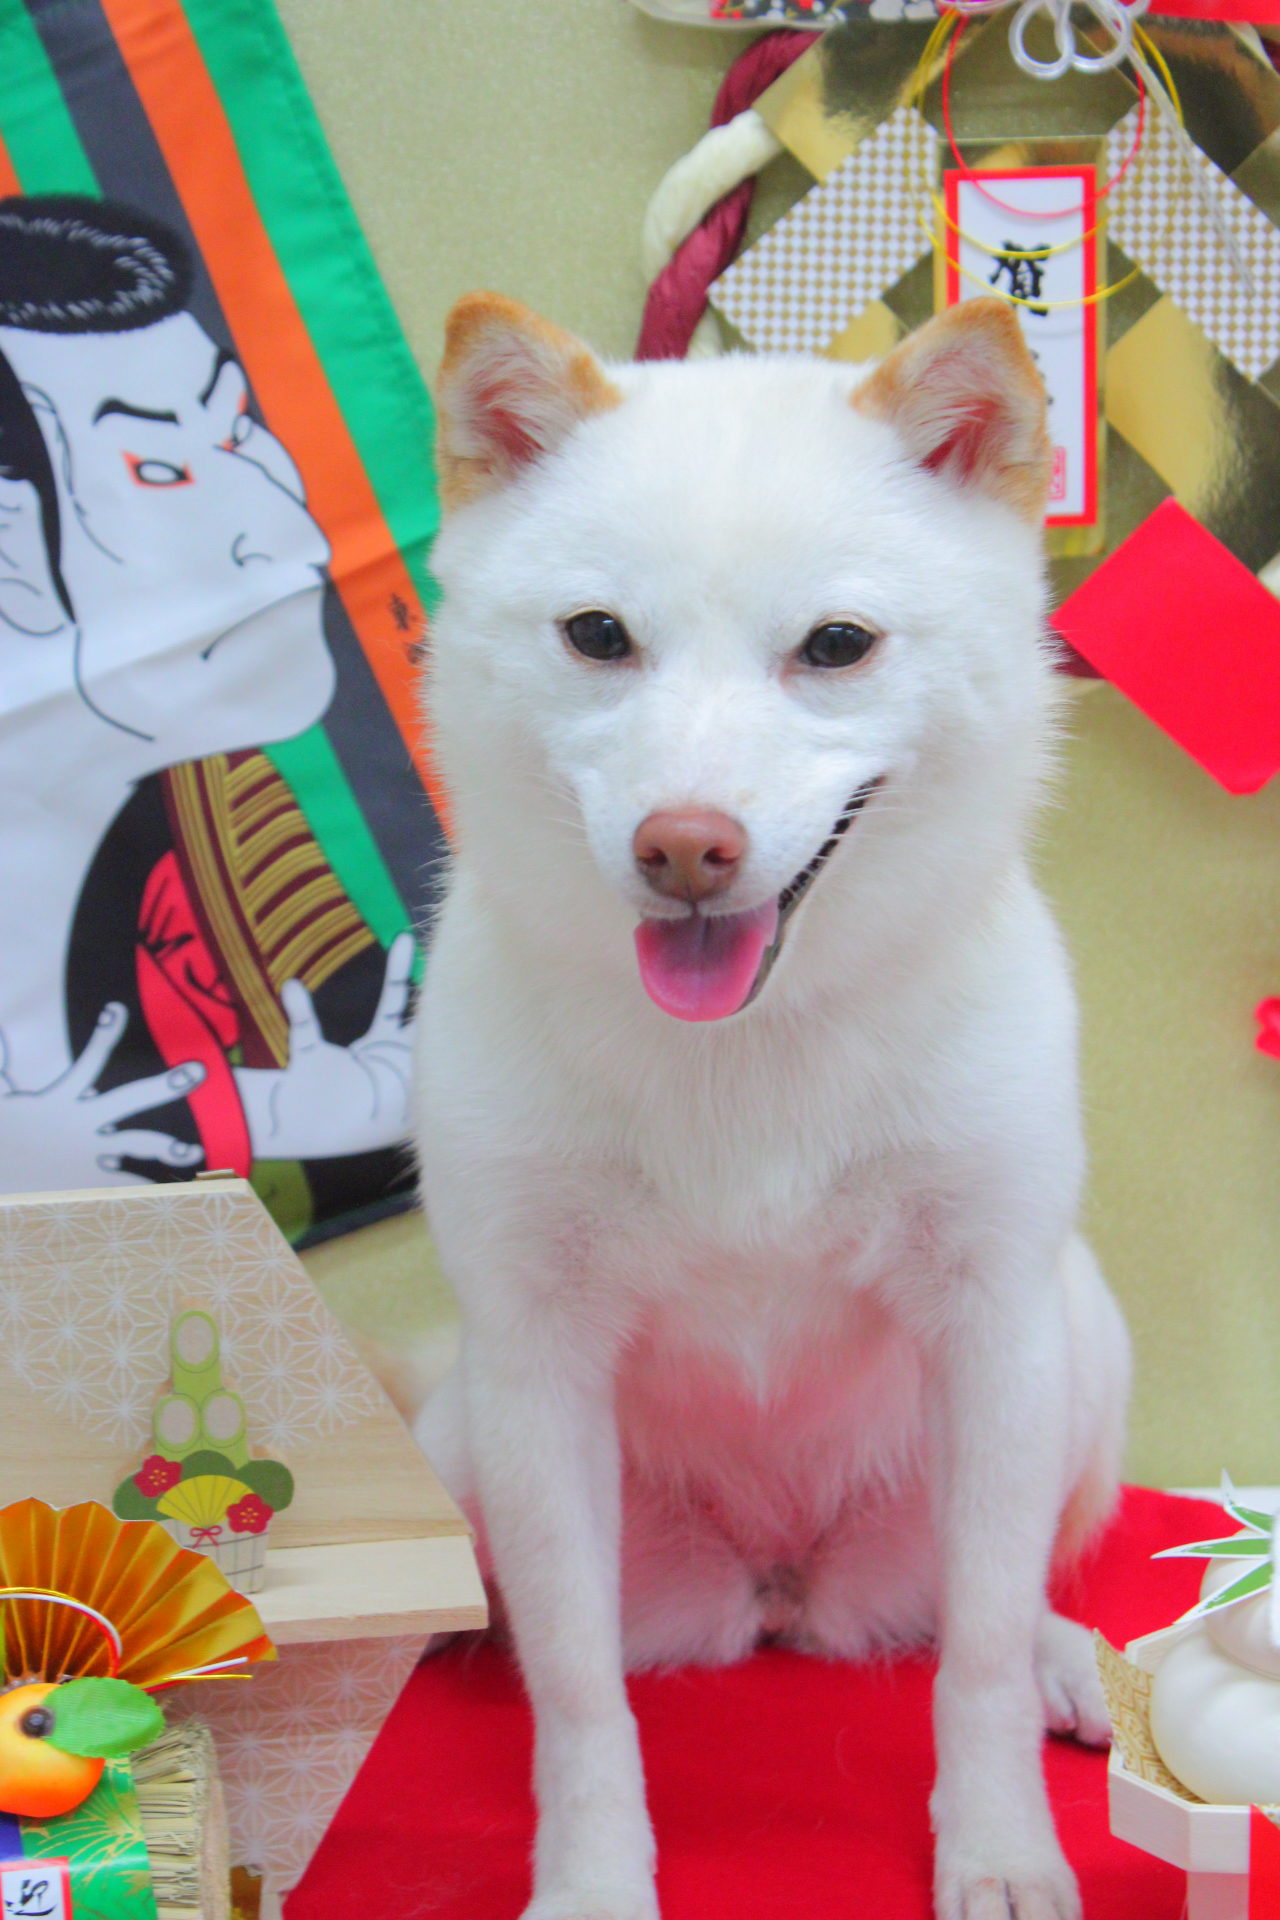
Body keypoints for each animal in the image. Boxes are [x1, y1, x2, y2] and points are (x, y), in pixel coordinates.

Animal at [412, 290, 1131, 1920]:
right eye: (597, 636)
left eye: (837, 646)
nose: (686, 846)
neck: (746, 1054)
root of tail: (788, 1589)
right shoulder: (533, 1366)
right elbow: (576, 1701)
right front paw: (592, 1879)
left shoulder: (994, 1320)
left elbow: (976, 1664)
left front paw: (997, 1845)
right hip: (459, 1423)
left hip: (1076, 1350)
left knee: (993, 1608)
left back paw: (1068, 1664)